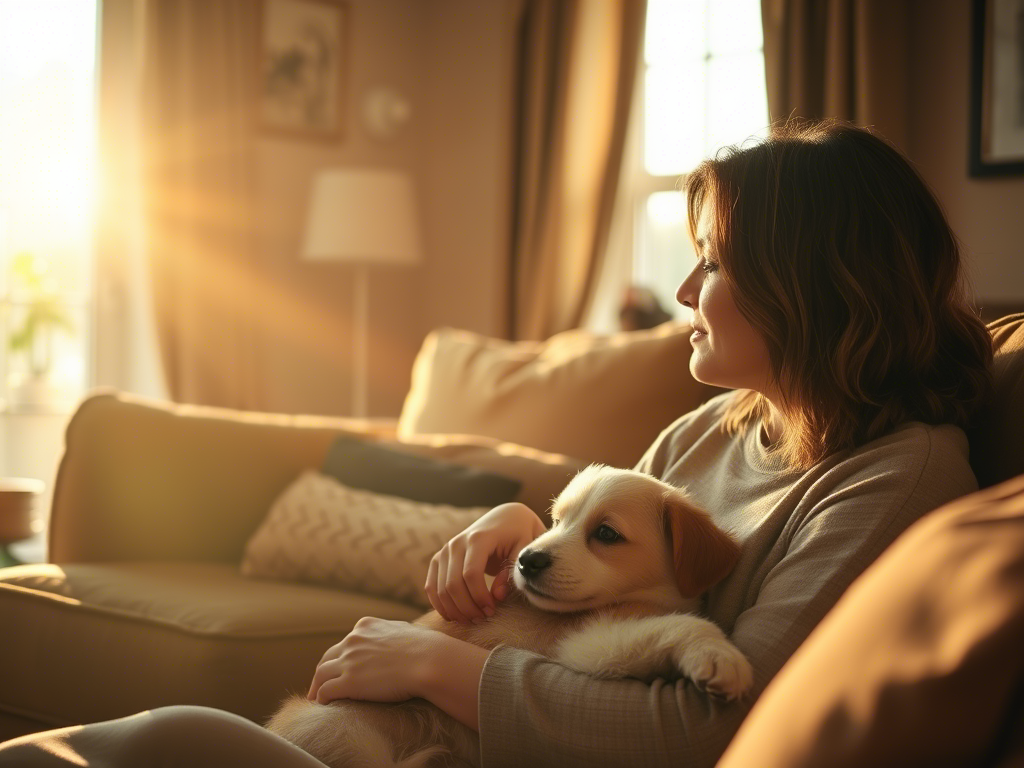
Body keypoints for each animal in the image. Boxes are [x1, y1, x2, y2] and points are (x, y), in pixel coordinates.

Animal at [266, 466, 753, 765]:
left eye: (606, 533)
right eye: (555, 520)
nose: (526, 560)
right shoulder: (585, 643)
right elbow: (681, 624)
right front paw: (720, 656)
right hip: (348, 733)